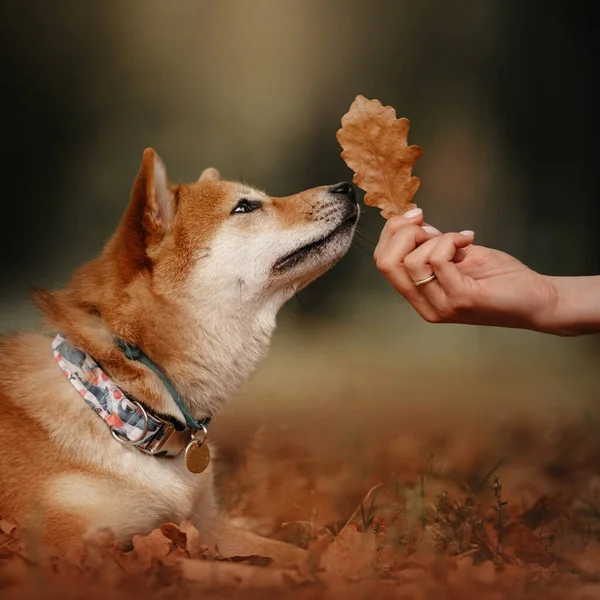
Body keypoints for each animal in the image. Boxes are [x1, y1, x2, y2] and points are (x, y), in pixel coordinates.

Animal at [0, 148, 356, 564]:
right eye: (245, 206)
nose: (348, 187)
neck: (115, 400)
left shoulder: (210, 528)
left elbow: (292, 555)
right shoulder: (71, 545)